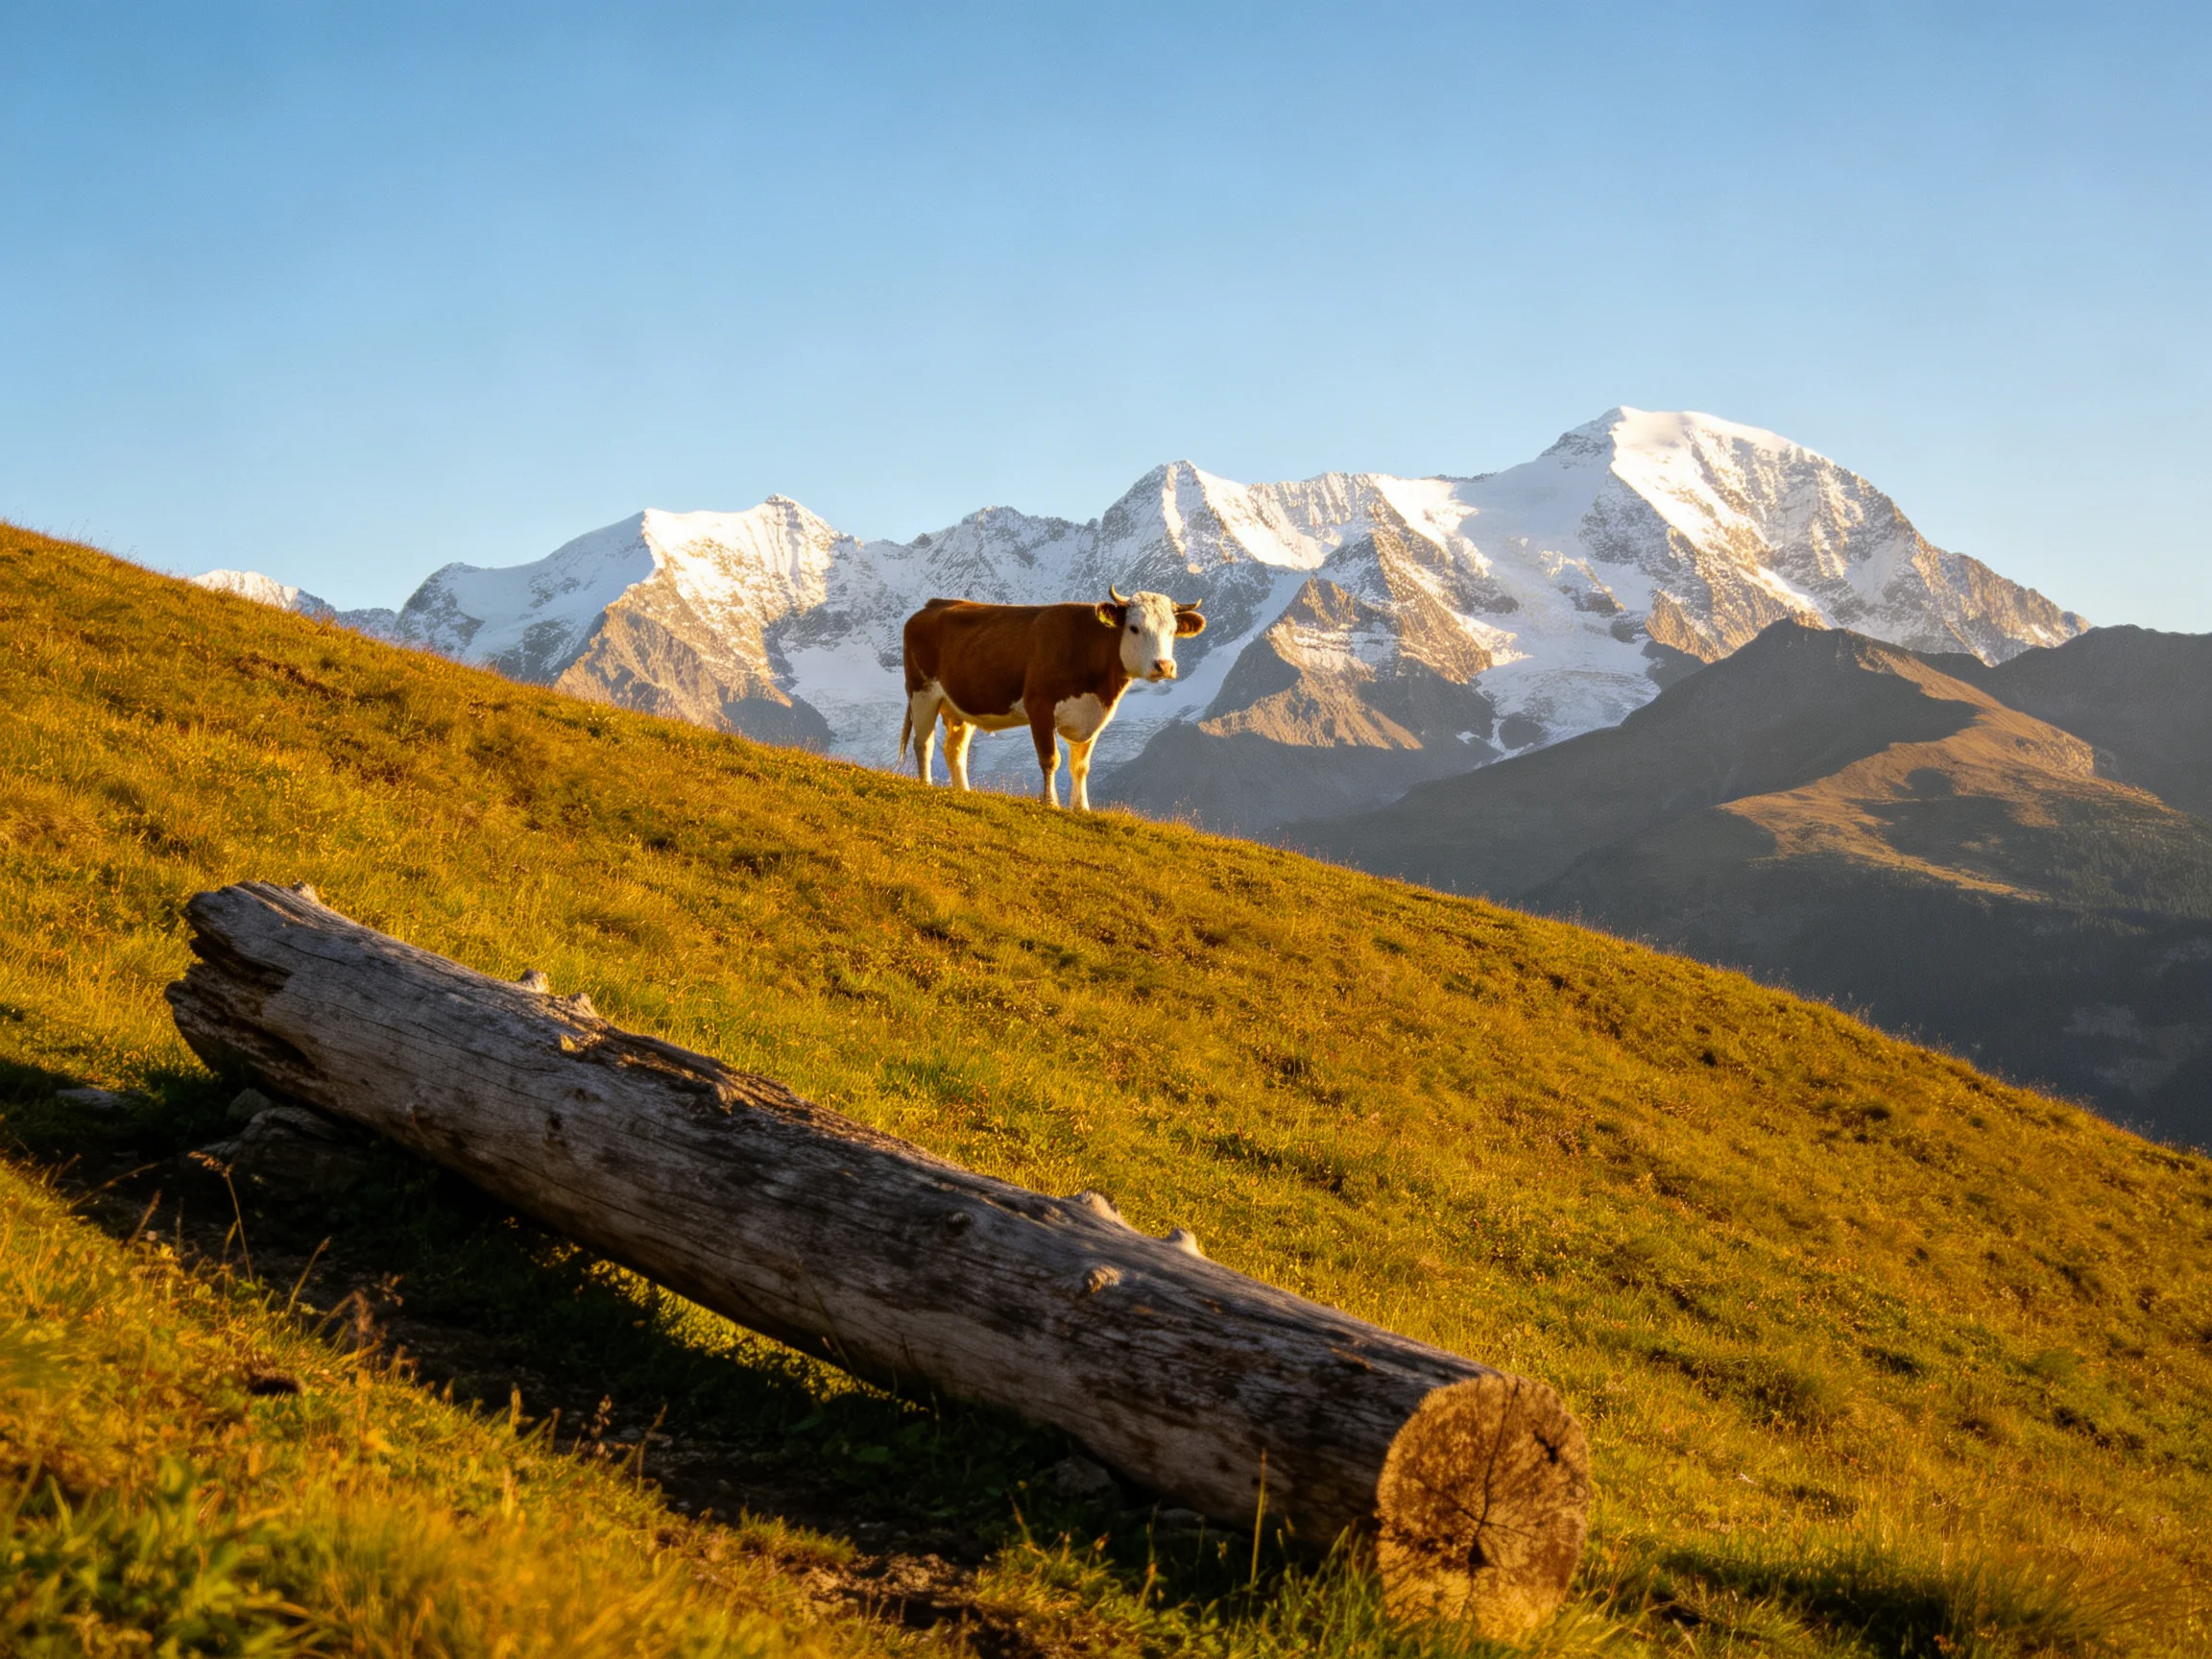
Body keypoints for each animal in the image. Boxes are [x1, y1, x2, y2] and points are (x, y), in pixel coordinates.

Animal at [898, 586, 1206, 810]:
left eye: (1172, 630)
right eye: (1134, 628)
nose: (1164, 666)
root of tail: (932, 605)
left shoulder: (1091, 717)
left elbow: (1080, 767)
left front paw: (1082, 808)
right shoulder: (1040, 707)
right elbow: (1050, 759)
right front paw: (1051, 802)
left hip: (959, 706)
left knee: (955, 749)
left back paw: (964, 791)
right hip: (922, 692)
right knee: (924, 743)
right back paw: (926, 784)